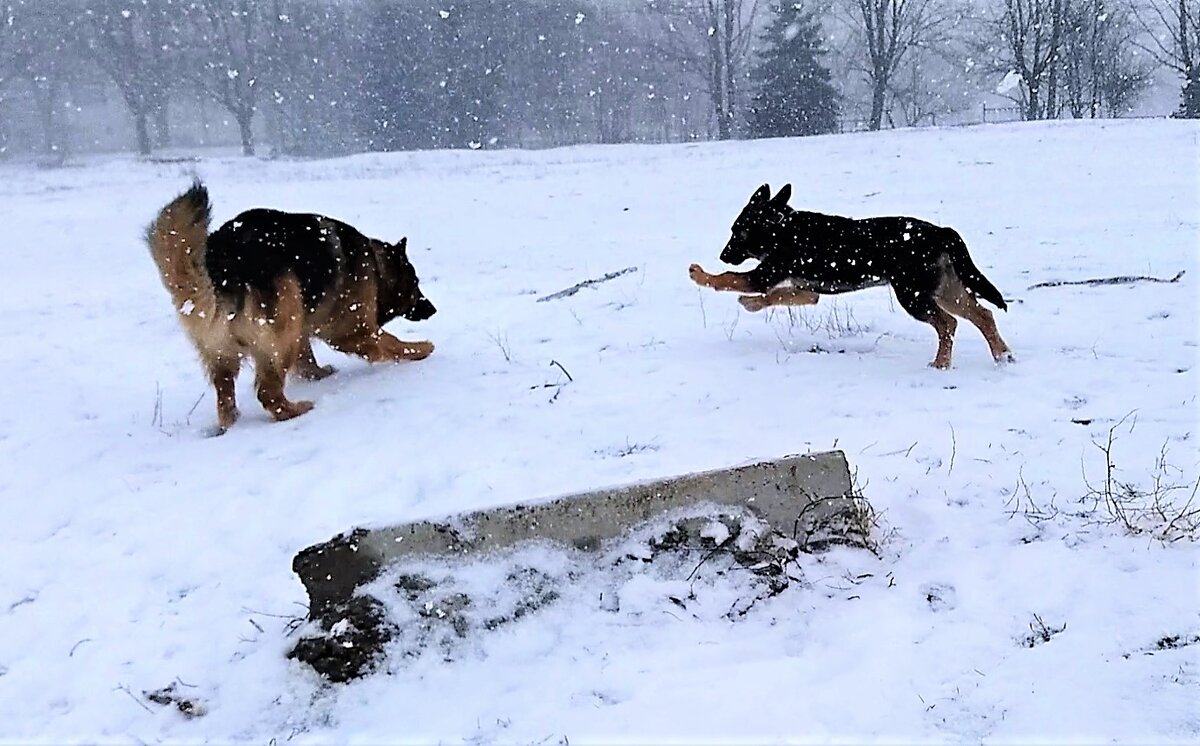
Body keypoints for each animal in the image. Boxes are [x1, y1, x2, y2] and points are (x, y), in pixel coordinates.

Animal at [145, 181, 436, 436]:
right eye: (415, 283)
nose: (432, 309)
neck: (376, 266)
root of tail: (222, 265)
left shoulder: (306, 327)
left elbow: (307, 358)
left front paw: (318, 374)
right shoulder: (353, 330)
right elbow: (390, 342)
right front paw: (420, 348)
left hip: (230, 349)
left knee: (224, 394)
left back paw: (231, 422)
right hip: (284, 324)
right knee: (267, 393)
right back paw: (295, 410)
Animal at [691, 182, 1017, 369]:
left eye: (737, 230)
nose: (723, 255)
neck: (781, 228)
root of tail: (941, 232)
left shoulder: (765, 274)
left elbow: (729, 278)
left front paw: (701, 275)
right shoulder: (807, 290)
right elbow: (777, 296)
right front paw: (752, 304)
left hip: (912, 294)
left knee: (948, 323)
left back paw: (942, 364)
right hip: (945, 288)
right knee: (982, 314)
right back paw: (1002, 356)